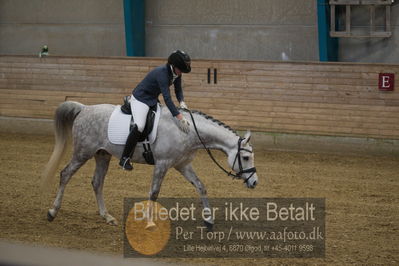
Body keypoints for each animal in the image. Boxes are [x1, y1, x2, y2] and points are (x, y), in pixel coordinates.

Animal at [41, 101, 260, 228]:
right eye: (246, 158)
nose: (255, 182)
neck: (187, 132)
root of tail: (84, 108)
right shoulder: (162, 164)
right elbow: (154, 193)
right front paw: (148, 221)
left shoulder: (182, 165)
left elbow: (200, 186)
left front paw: (208, 220)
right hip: (82, 153)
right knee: (65, 174)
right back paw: (52, 212)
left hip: (102, 155)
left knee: (97, 183)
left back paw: (107, 217)